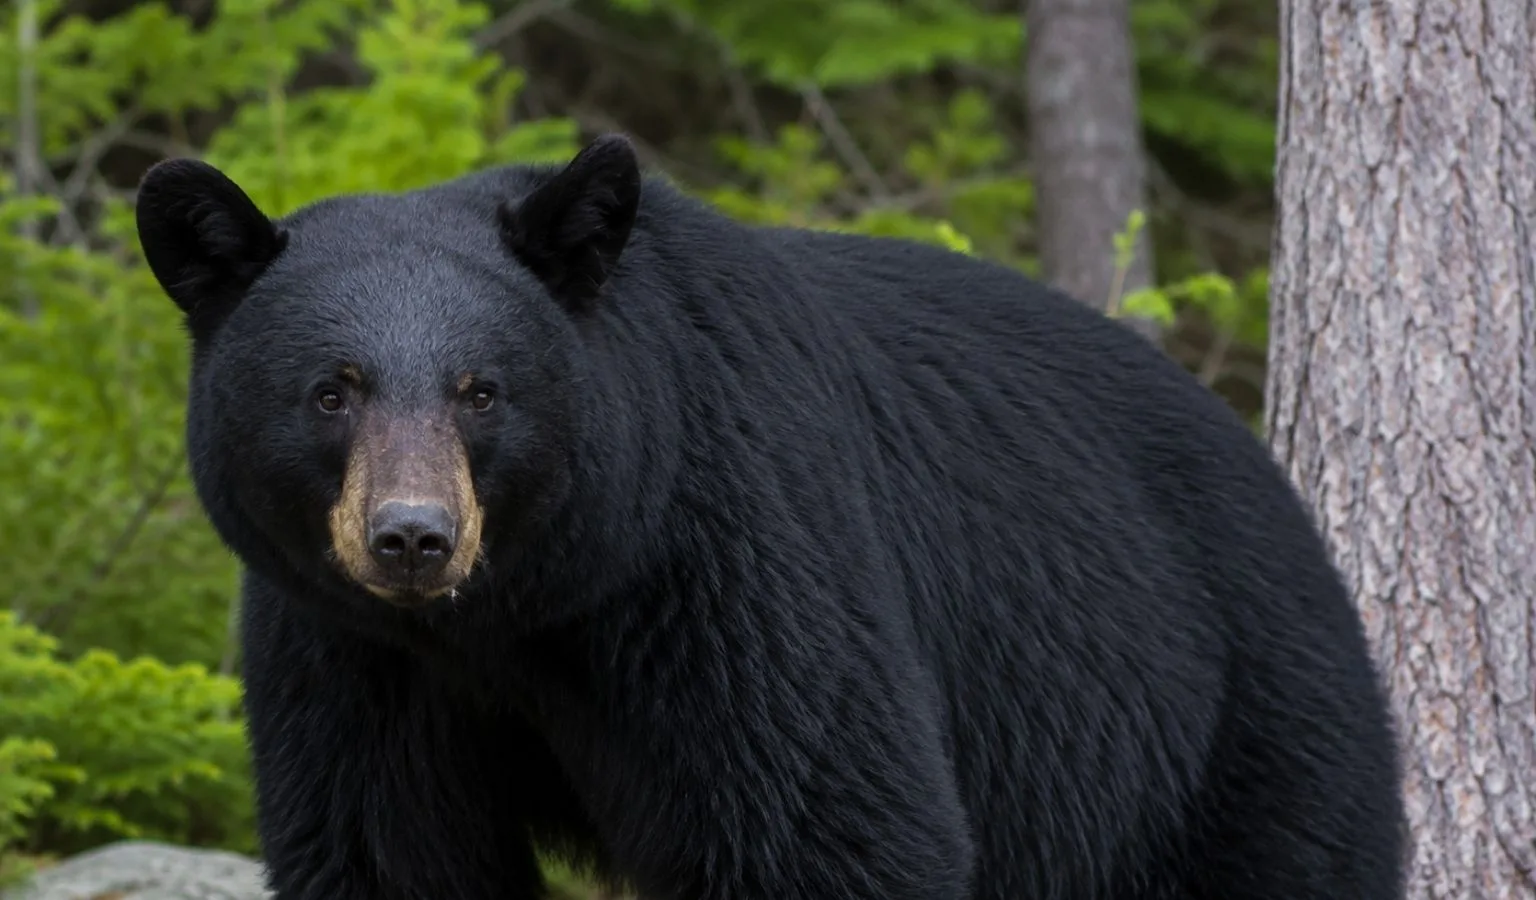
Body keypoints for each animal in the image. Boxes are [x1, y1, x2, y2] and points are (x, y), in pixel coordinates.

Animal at [133, 133, 1406, 900]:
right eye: (332, 390)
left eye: (481, 390)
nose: (411, 536)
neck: (519, 611)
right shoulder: (351, 657)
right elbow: (385, 848)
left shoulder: (731, 564)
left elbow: (821, 821)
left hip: (1234, 731)